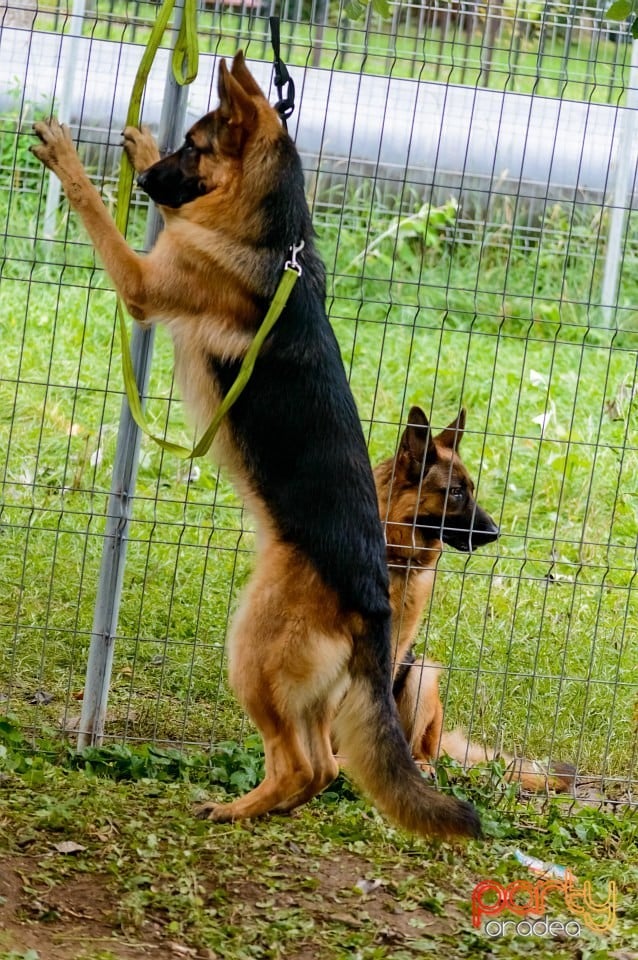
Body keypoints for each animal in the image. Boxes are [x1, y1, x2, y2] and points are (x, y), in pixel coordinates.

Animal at [30, 52, 480, 836]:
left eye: (197, 150)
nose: (148, 179)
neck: (274, 243)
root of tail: (375, 601)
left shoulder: (142, 282)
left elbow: (102, 221)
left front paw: (70, 161)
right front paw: (138, 143)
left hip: (251, 651)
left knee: (303, 764)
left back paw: (233, 807)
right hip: (317, 693)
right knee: (323, 768)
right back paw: (259, 807)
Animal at [380, 408, 580, 792]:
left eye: (471, 490)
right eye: (456, 493)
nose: (496, 533)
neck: (393, 554)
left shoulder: (396, 648)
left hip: (423, 674)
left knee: (419, 750)